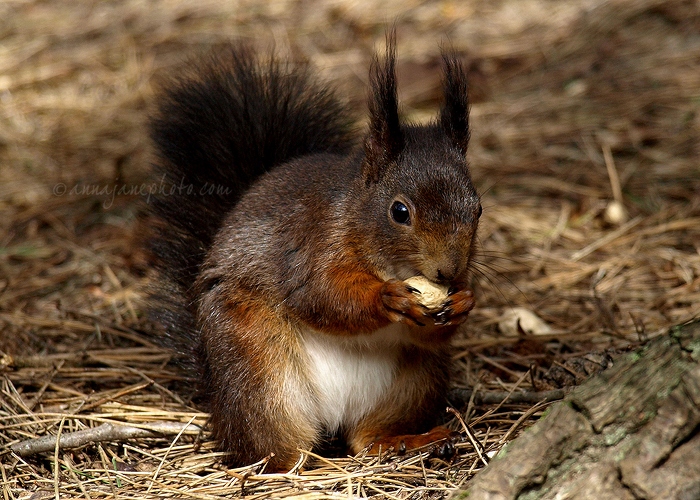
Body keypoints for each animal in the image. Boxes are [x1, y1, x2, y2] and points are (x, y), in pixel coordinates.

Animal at [147, 33, 482, 470]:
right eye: (399, 211)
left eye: (478, 208)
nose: (448, 271)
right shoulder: (311, 243)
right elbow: (320, 295)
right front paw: (386, 298)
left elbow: (431, 332)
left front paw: (463, 301)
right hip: (256, 367)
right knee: (275, 447)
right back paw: (298, 465)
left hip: (416, 382)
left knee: (366, 438)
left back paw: (406, 441)